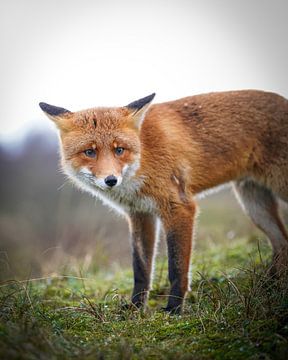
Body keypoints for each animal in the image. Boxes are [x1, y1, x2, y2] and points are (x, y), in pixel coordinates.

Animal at [40, 91, 288, 314]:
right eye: (89, 152)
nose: (111, 180)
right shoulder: (140, 214)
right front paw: (135, 307)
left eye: (119, 150)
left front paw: (174, 308)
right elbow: (141, 269)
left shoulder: (179, 207)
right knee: (282, 243)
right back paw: (271, 286)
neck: (144, 155)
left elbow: (176, 267)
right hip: (254, 204)